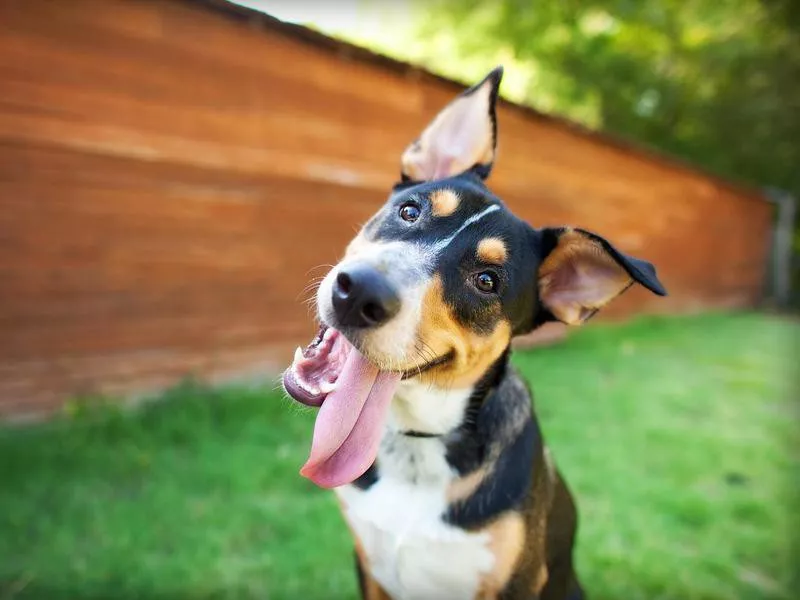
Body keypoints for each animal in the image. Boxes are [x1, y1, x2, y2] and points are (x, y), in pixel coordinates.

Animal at [284, 68, 664, 596]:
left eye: (487, 281)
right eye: (409, 211)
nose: (358, 293)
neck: (418, 447)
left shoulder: (516, 582)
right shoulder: (368, 563)